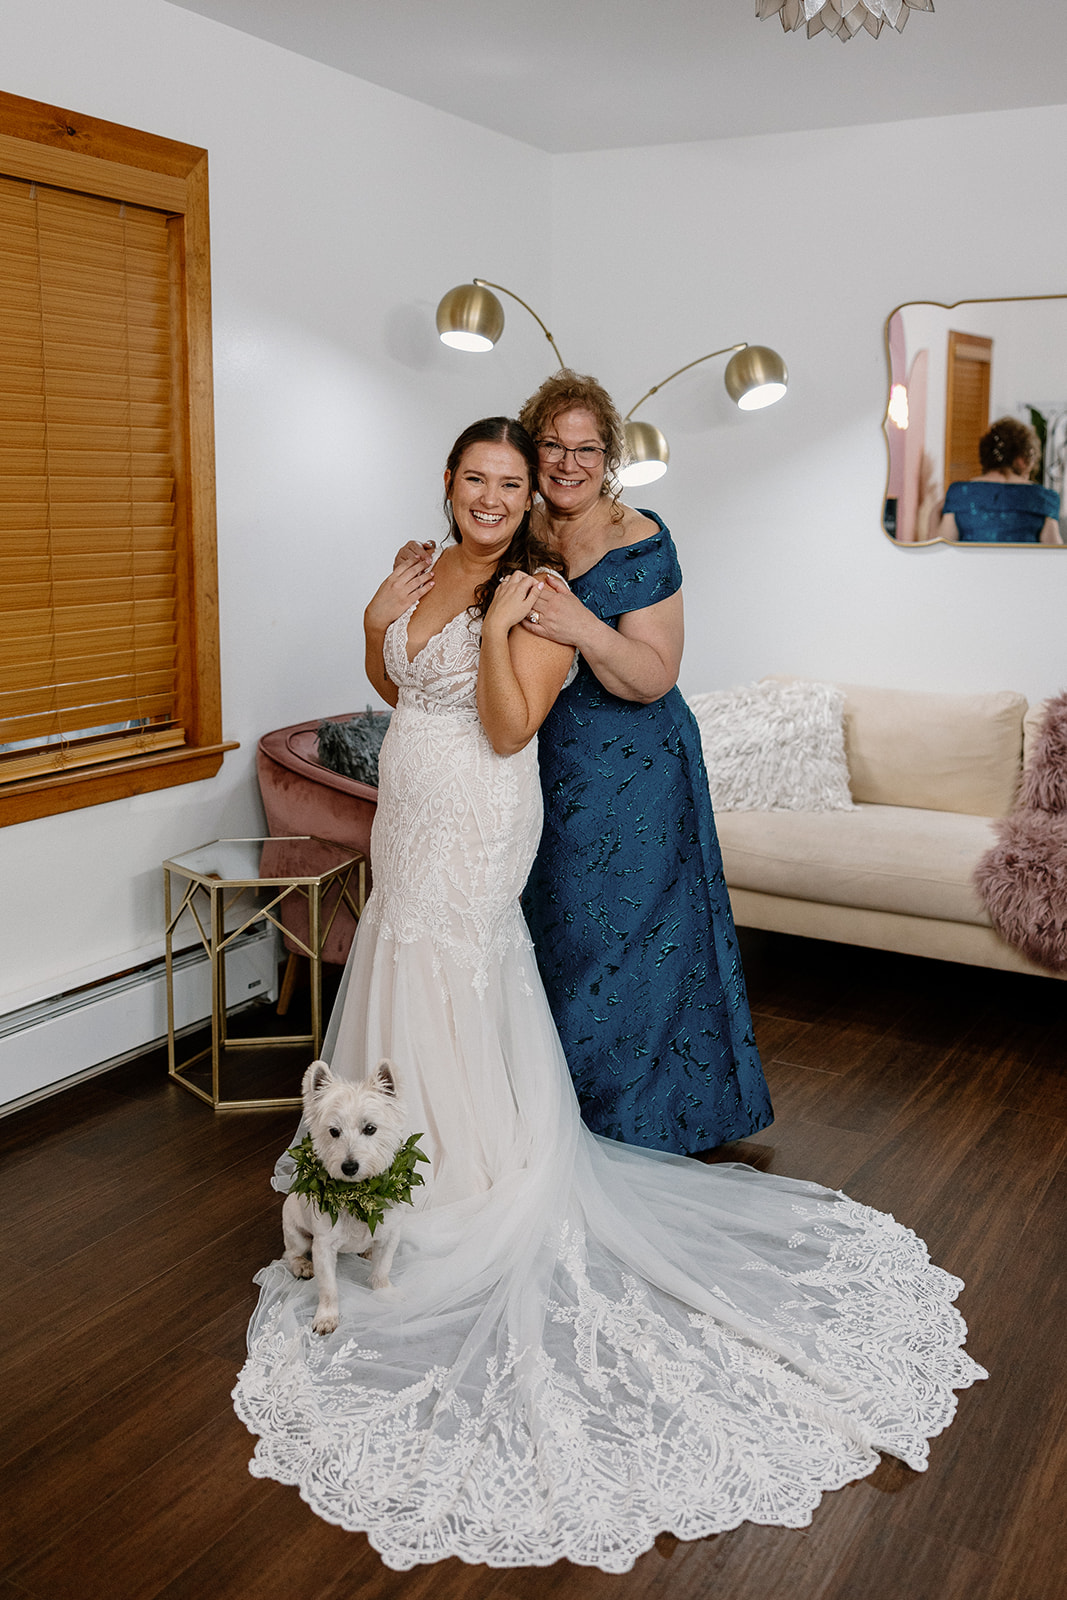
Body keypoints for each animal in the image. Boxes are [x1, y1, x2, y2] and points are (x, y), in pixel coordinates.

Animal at [281, 1062, 415, 1337]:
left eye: (370, 1128)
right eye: (334, 1131)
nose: (349, 1166)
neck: (359, 1195)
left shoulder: (390, 1235)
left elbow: (382, 1269)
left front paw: (385, 1294)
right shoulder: (323, 1246)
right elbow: (328, 1287)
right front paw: (326, 1317)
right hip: (296, 1230)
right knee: (290, 1253)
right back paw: (302, 1266)